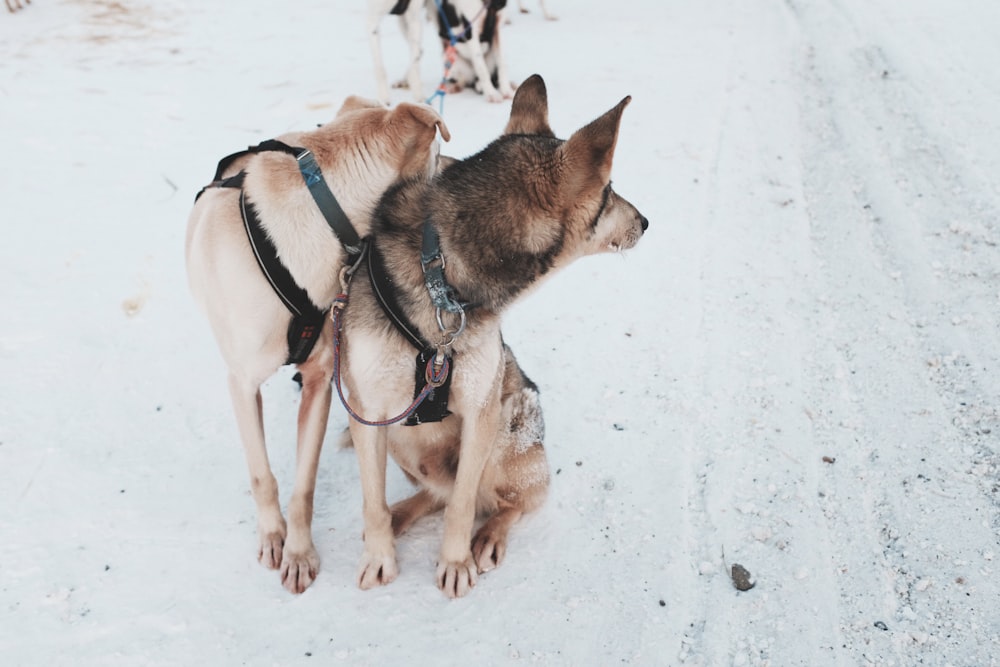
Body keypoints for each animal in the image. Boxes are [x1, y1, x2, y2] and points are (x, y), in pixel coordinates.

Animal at [187, 96, 450, 592]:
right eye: (440, 155)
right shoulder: (242, 384)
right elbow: (262, 474)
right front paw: (274, 536)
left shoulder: (320, 379)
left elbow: (303, 484)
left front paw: (299, 553)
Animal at [336, 75, 648, 596]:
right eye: (610, 190)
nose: (646, 221)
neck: (440, 273)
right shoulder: (369, 412)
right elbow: (372, 501)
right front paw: (380, 554)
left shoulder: (480, 410)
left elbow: (464, 504)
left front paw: (455, 561)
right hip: (402, 438)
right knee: (436, 493)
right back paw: (404, 514)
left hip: (508, 422)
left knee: (505, 502)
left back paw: (488, 536)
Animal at [372, 0, 520, 103]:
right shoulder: (470, 31)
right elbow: (481, 67)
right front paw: (491, 94)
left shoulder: (497, 29)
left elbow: (502, 64)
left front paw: (506, 90)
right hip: (451, 60)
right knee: (462, 80)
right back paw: (452, 87)